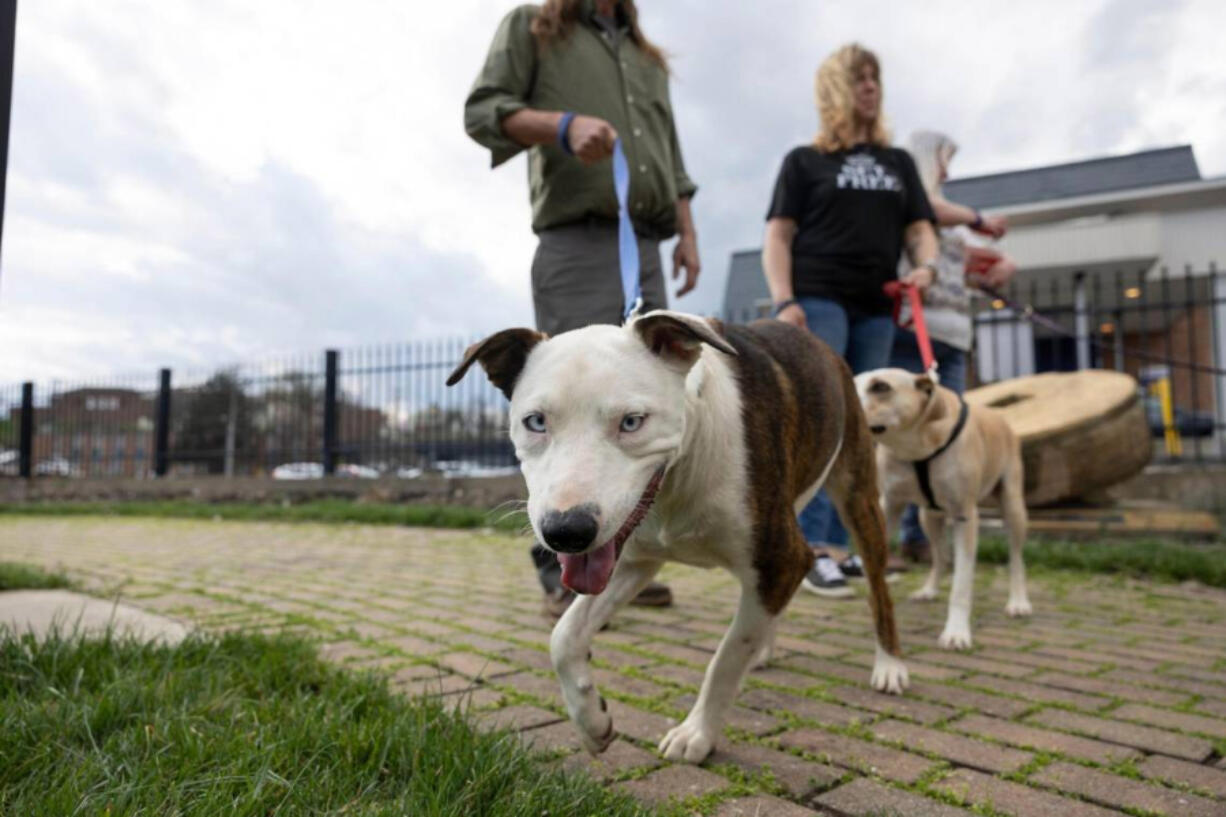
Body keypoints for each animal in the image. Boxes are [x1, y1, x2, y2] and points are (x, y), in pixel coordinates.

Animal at [446, 311, 907, 765]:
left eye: (632, 422)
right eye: (536, 422)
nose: (567, 532)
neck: (680, 472)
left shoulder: (782, 556)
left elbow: (725, 658)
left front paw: (697, 734)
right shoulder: (632, 561)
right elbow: (564, 637)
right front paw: (592, 722)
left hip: (858, 495)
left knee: (879, 591)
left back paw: (889, 664)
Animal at [853, 368, 1034, 647]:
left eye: (881, 387)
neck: (915, 446)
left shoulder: (964, 516)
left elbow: (961, 583)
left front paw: (956, 631)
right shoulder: (889, 505)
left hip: (1013, 507)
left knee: (1016, 559)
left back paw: (1018, 601)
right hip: (928, 517)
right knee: (941, 556)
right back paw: (929, 590)